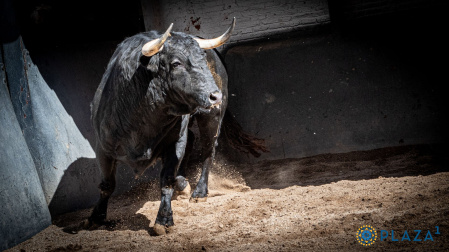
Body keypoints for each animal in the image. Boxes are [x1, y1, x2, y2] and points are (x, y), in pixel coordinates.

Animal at [83, 19, 266, 236]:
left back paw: (199, 192)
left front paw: (163, 220)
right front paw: (95, 218)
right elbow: (107, 185)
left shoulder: (174, 143)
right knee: (193, 141)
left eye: (202, 59)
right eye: (176, 63)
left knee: (208, 150)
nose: (216, 96)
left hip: (211, 118)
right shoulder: (103, 149)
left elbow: (167, 181)